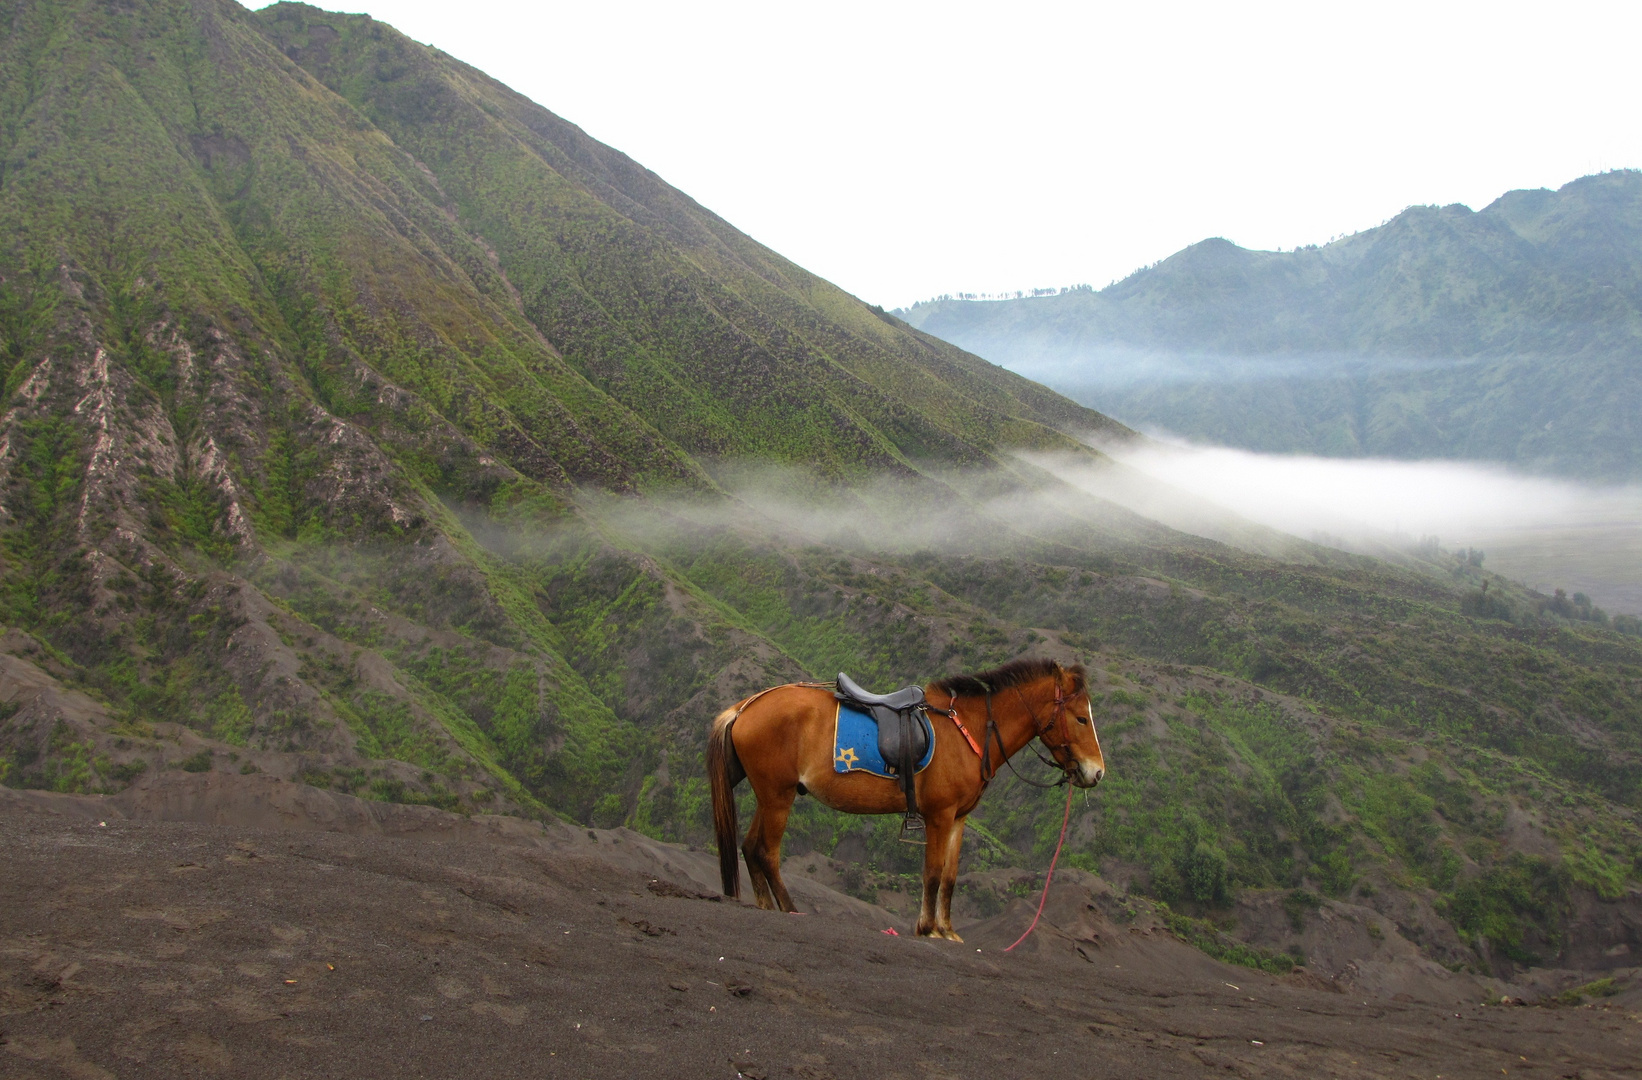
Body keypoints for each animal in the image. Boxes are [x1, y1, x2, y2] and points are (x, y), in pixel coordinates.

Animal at [706, 653, 1103, 938]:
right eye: (1081, 718)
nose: (1096, 772)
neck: (969, 730)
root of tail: (745, 706)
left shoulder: (958, 818)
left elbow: (950, 877)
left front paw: (947, 930)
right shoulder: (939, 816)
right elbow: (932, 873)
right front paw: (927, 928)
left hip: (770, 795)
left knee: (750, 847)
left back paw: (765, 905)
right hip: (778, 797)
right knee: (766, 852)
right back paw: (789, 908)